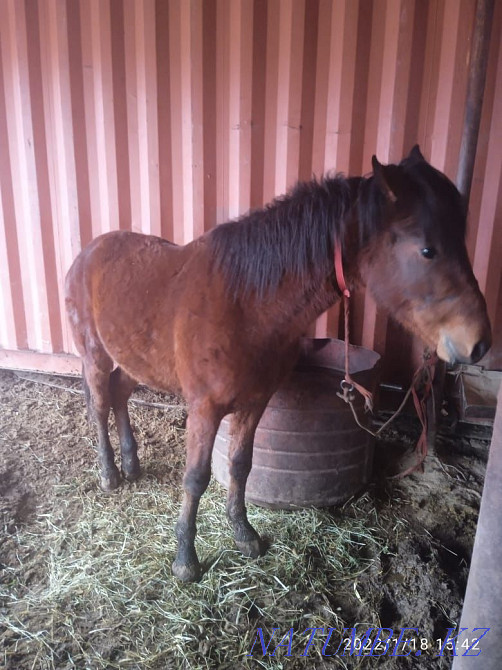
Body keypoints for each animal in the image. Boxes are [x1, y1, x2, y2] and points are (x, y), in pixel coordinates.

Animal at [65, 145, 491, 582]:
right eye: (427, 249)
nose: (478, 343)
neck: (244, 304)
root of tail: (89, 252)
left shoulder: (255, 403)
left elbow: (240, 466)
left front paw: (244, 535)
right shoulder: (204, 409)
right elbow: (196, 478)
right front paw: (185, 560)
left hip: (133, 362)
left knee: (119, 396)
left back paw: (131, 464)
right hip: (95, 356)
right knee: (100, 405)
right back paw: (110, 475)